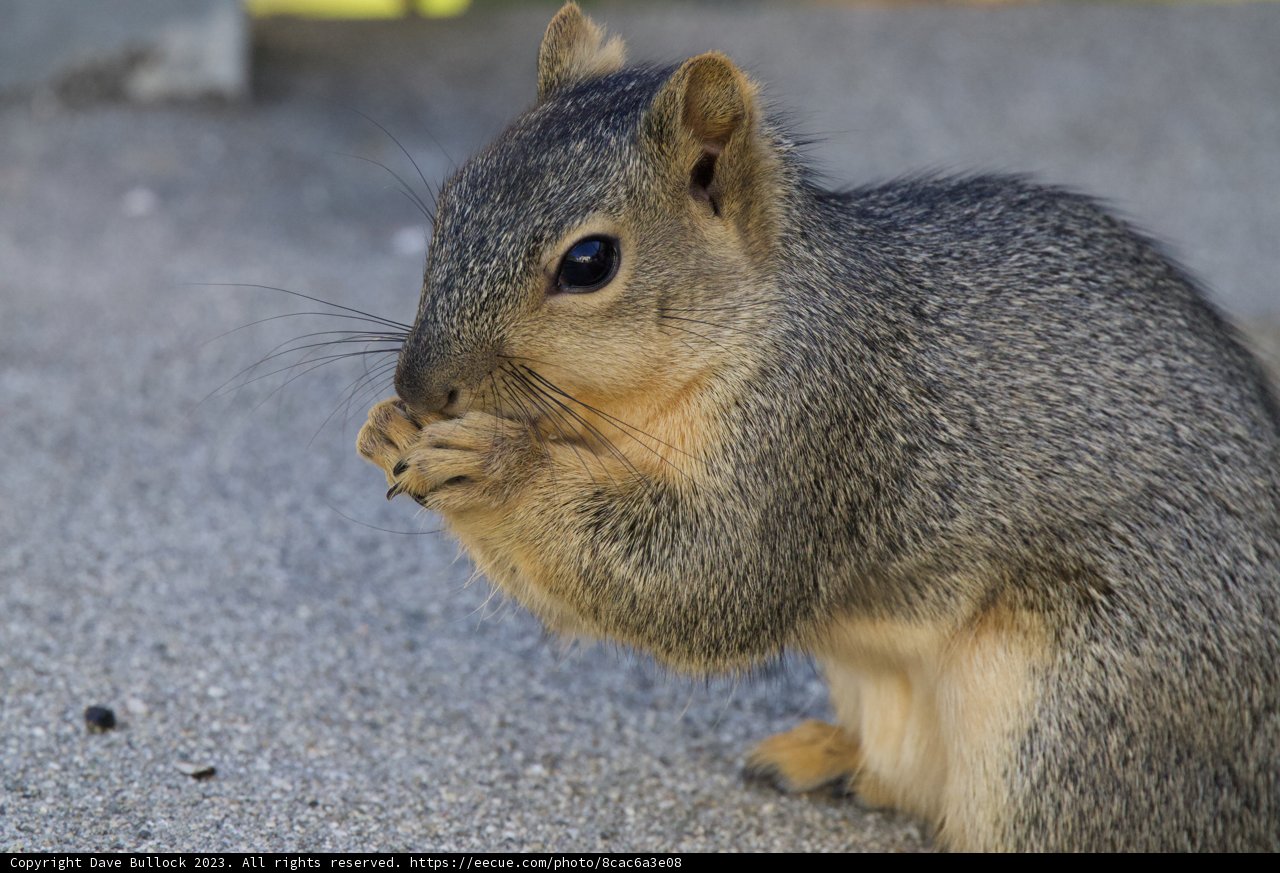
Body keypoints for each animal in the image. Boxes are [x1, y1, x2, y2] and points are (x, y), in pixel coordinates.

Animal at [357, 3, 1280, 851]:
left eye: (590, 262)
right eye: (451, 202)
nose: (420, 386)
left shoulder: (815, 427)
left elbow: (704, 578)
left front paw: (496, 461)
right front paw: (386, 429)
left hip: (1077, 712)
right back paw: (828, 756)